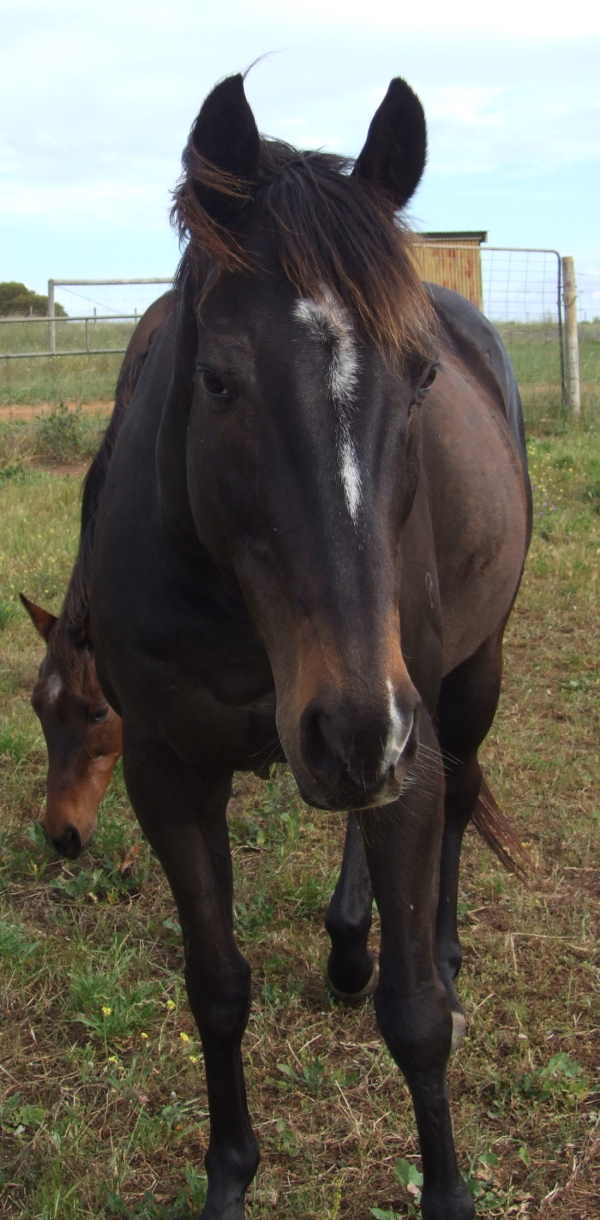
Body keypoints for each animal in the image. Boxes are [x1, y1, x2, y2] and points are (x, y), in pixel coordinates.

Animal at [86, 76, 531, 1220]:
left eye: (420, 378)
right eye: (218, 380)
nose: (356, 725)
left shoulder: (403, 737)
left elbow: (415, 1017)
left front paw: (448, 1192)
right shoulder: (169, 773)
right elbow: (216, 986)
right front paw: (230, 1174)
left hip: (458, 689)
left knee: (458, 805)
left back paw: (439, 948)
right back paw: (344, 945)